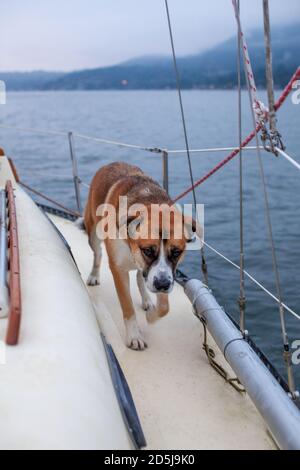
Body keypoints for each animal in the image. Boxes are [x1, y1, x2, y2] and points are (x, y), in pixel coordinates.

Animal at [82, 162, 202, 348]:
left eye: (176, 252)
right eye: (148, 250)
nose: (162, 285)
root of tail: (111, 163)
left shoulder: (163, 273)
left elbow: (164, 307)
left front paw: (151, 317)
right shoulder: (119, 269)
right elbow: (127, 306)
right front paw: (134, 336)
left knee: (140, 277)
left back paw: (146, 300)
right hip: (93, 232)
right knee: (98, 253)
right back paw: (94, 275)